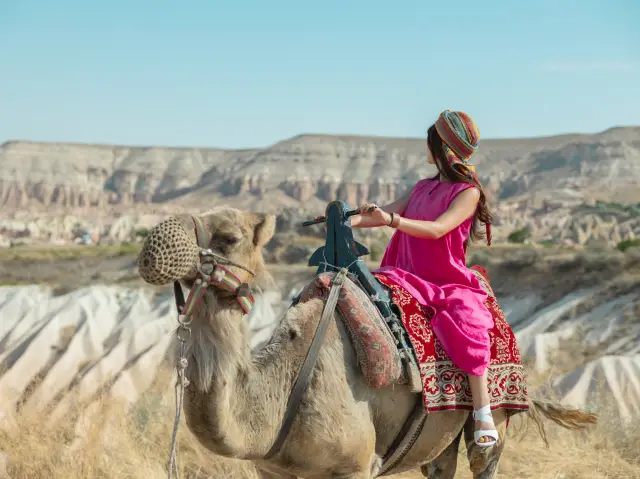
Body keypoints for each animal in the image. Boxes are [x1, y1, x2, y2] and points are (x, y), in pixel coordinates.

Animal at [136, 207, 600, 479]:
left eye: (229, 238)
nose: (154, 244)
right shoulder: (273, 472)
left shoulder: (355, 466)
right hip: (435, 440)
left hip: (497, 418)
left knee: (486, 457)